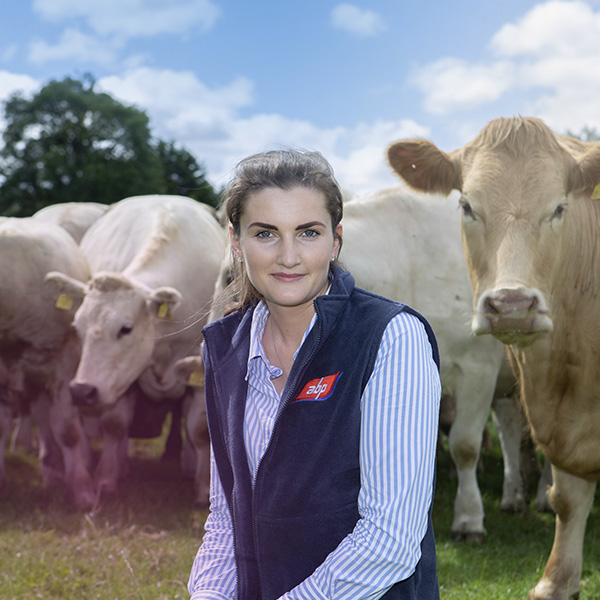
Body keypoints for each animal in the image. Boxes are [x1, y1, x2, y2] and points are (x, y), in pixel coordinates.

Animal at [47, 195, 227, 504]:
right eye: (77, 327)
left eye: (125, 328)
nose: (82, 390)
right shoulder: (121, 381)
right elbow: (115, 424)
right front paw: (107, 477)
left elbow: (200, 429)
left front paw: (204, 487)